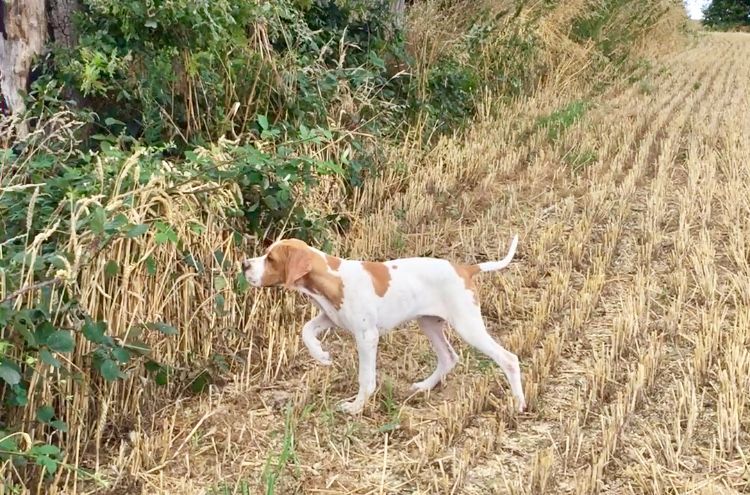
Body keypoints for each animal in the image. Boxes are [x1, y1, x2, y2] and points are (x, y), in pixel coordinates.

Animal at [244, 236, 524, 414]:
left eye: (270, 258)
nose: (245, 264)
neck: (333, 277)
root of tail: (465, 269)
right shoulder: (330, 317)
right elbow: (306, 331)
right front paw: (321, 355)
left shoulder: (367, 337)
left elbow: (366, 378)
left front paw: (356, 407)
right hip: (429, 323)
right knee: (448, 357)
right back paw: (424, 387)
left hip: (467, 325)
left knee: (508, 358)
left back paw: (518, 403)